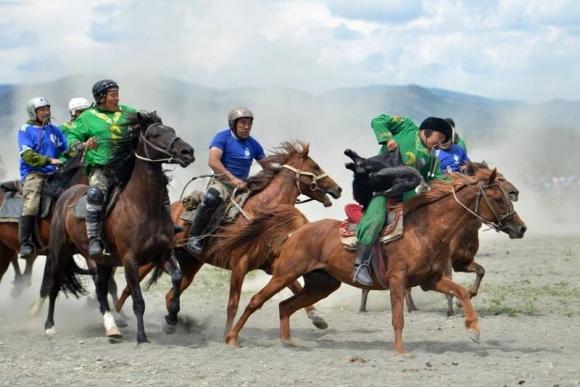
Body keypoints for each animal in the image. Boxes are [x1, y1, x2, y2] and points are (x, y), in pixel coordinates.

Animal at [42, 110, 195, 344]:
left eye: (171, 131)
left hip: (102, 261)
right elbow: (138, 300)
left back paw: (112, 328)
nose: (187, 152)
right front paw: (142, 337)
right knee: (54, 286)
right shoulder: (130, 260)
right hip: (60, 252)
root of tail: (66, 195)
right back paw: (50, 326)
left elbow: (177, 278)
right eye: (156, 135)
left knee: (101, 291)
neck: (143, 206)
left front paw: (171, 319)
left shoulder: (163, 254)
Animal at [115, 141, 342, 334]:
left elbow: (295, 286)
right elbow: (233, 303)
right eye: (315, 166)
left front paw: (317, 317)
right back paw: (118, 319)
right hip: (149, 260)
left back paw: (173, 322)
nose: (338, 188)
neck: (262, 215)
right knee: (128, 288)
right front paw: (228, 333)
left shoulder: (270, 264)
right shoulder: (239, 265)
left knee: (170, 294)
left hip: (190, 265)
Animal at [358, 162, 520, 316]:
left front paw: (463, 300)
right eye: (498, 197)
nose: (521, 228)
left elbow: (480, 271)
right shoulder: (446, 263)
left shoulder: (461, 262)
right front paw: (451, 310)